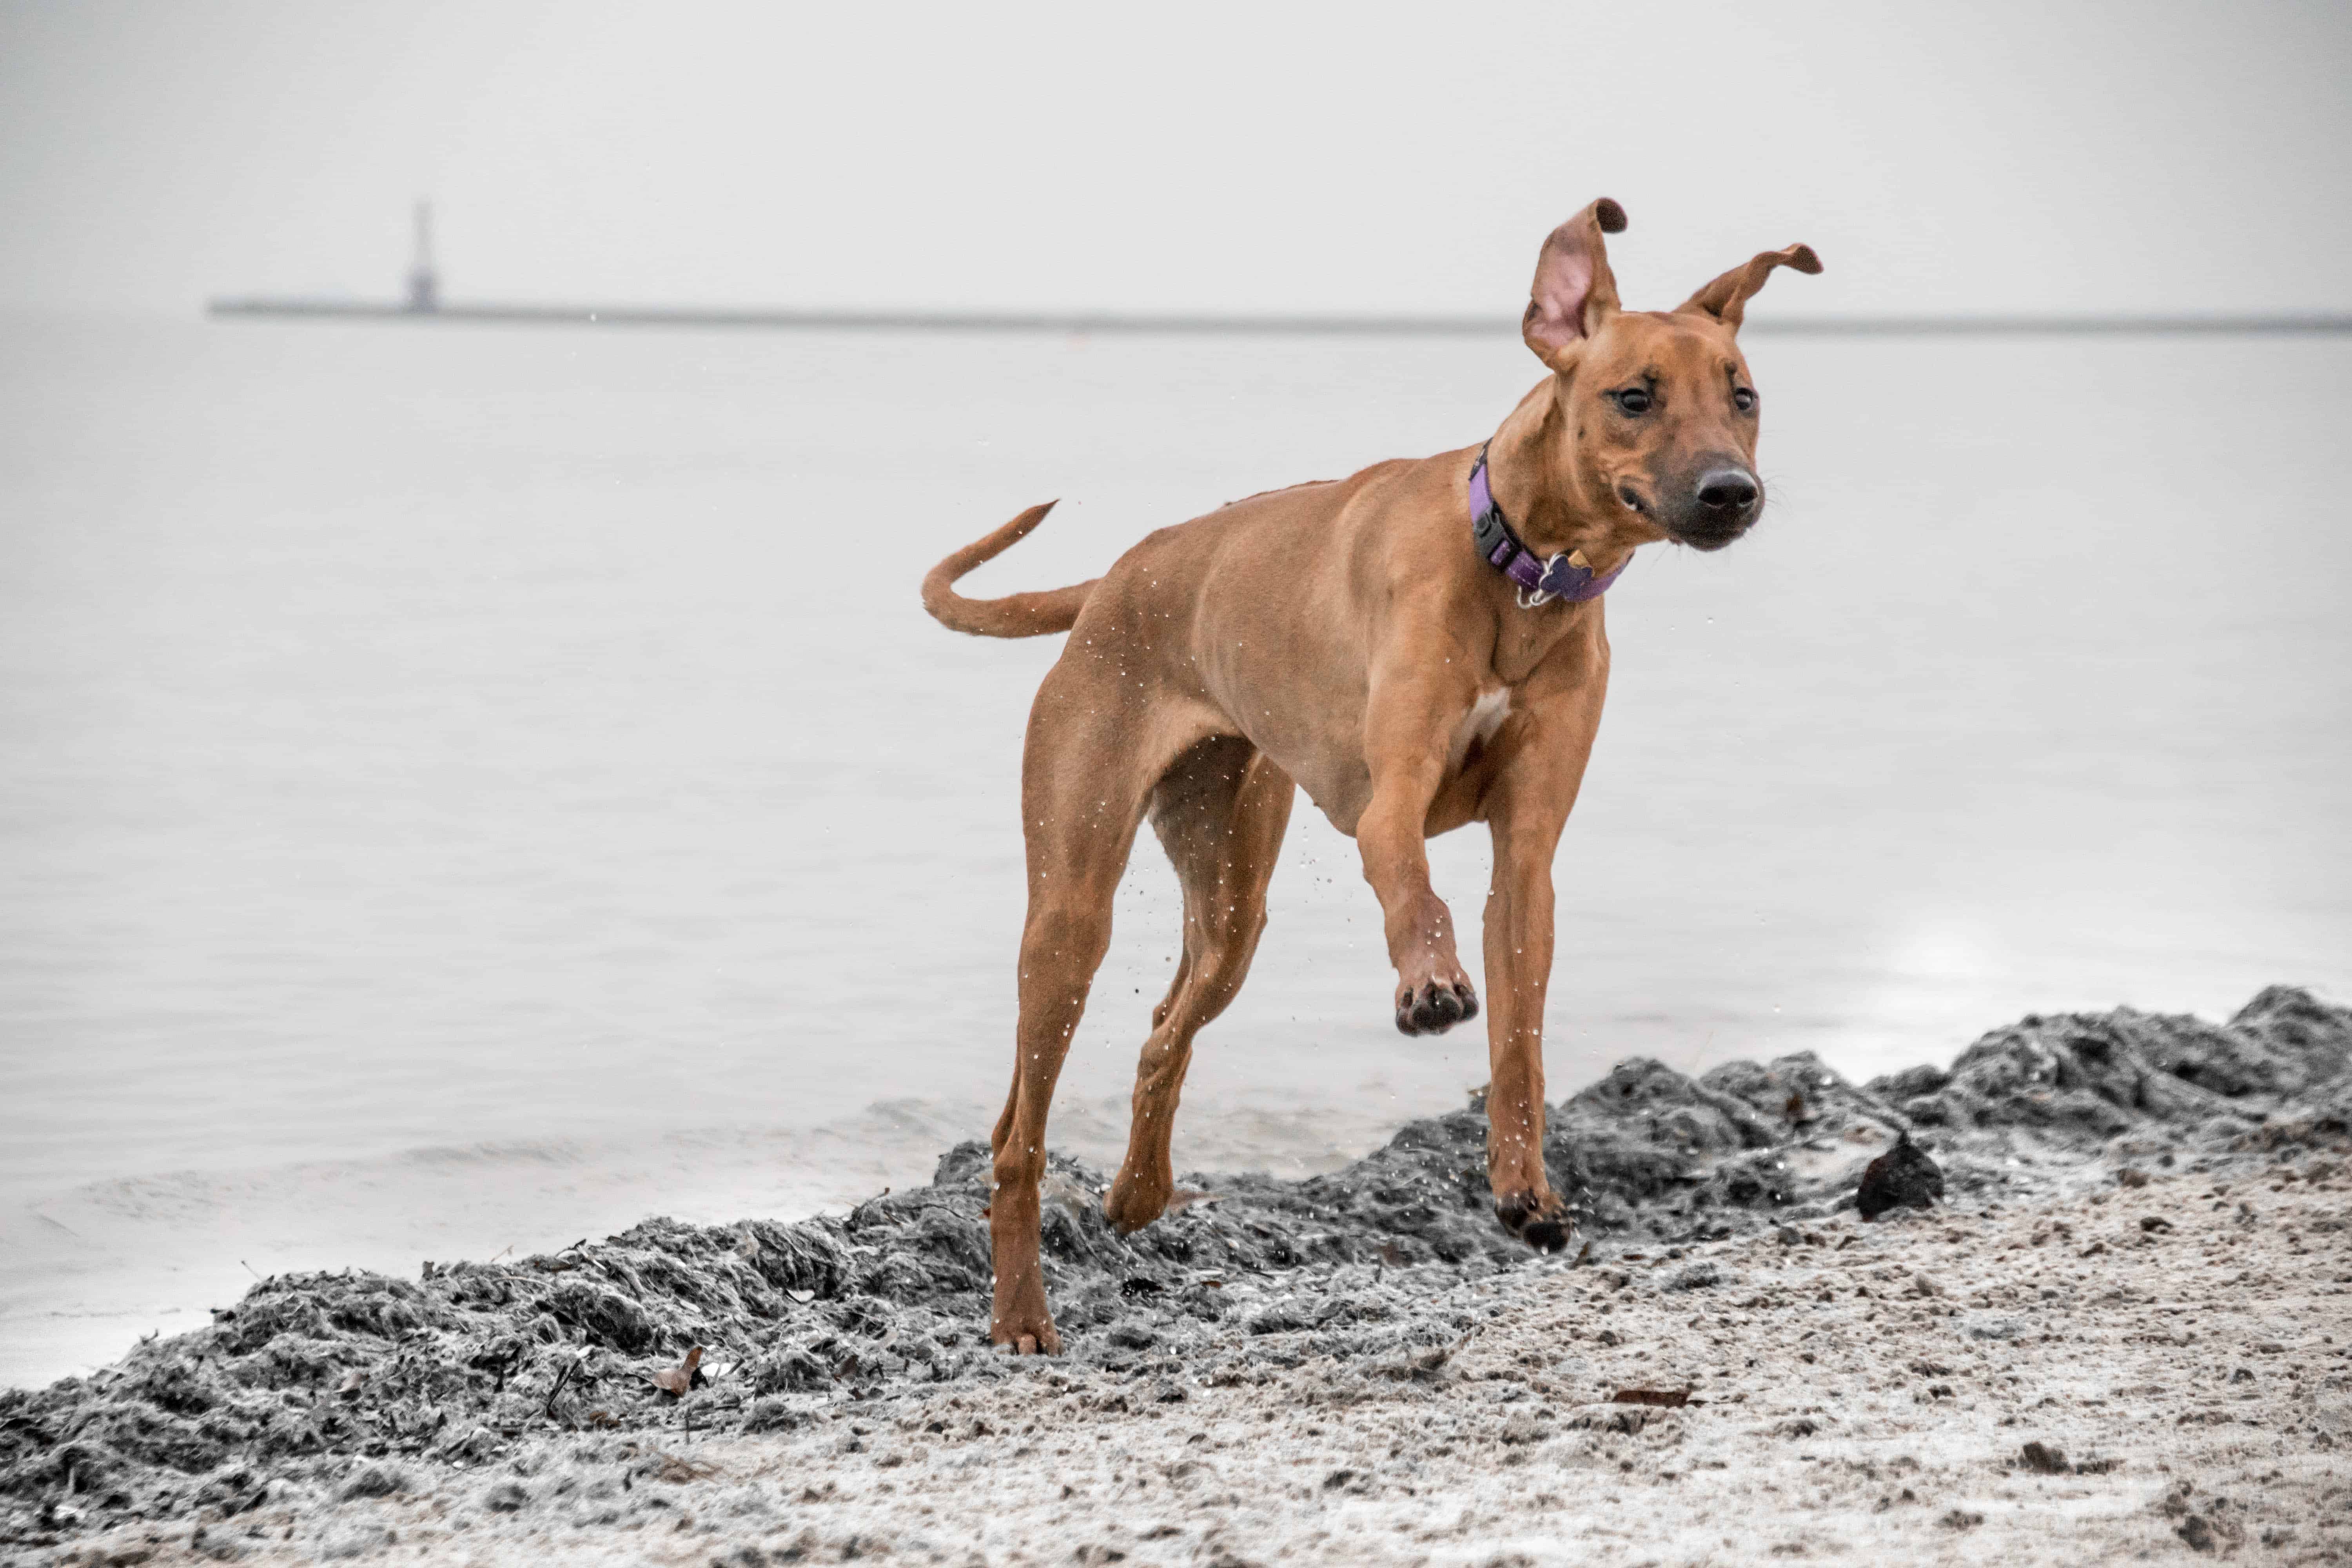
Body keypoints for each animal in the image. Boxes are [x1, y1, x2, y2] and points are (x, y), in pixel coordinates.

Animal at [917, 200, 1816, 1354]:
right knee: (1017, 1131)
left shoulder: (1528, 855)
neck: (1522, 572)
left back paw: (1138, 1196)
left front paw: (1523, 1183)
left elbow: (1520, 1033)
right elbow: (1416, 896)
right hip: (1072, 905)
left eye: (1743, 396)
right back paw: (1024, 1311)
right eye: (1634, 396)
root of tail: (1114, 579)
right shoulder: (1390, 802)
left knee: (1165, 1034)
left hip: (1231, 899)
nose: (1732, 492)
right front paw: (1430, 984)